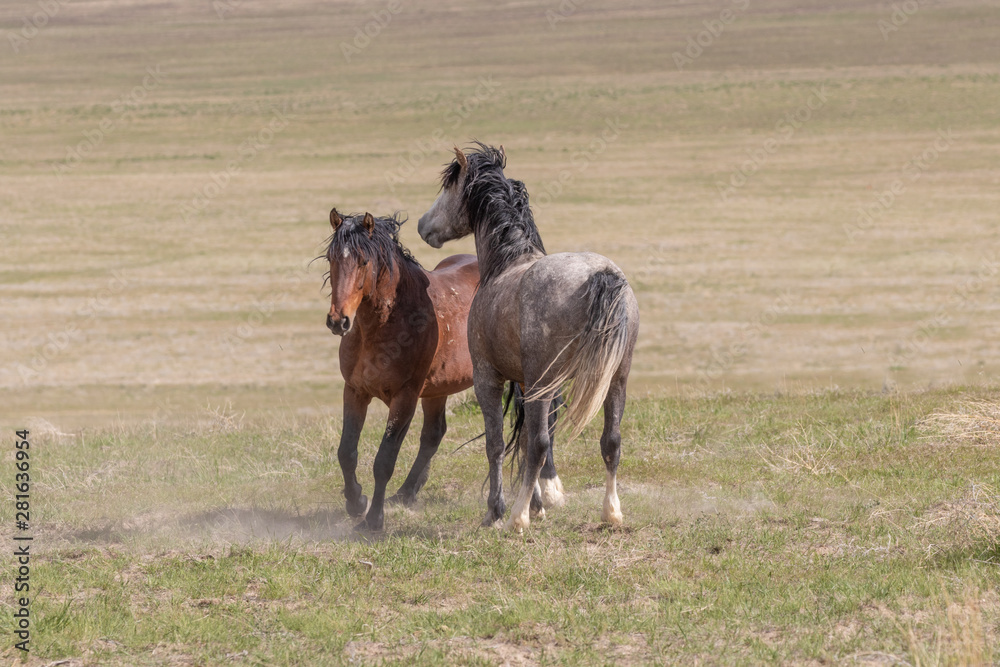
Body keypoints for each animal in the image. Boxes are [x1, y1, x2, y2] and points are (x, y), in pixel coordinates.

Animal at [326, 209, 568, 532]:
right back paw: (406, 493)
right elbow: (346, 453)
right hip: (437, 389)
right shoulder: (355, 391)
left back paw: (544, 496)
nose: (338, 321)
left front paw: (374, 519)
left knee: (539, 428)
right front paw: (356, 502)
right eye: (331, 258)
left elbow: (384, 460)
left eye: (363, 261)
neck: (386, 323)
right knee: (434, 434)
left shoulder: (405, 398)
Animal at [416, 144, 640, 536]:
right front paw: (537, 504)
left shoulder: (488, 378)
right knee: (610, 441)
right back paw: (611, 513)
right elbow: (521, 439)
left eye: (448, 186)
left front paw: (498, 510)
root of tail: (602, 275)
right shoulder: (524, 383)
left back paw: (516, 519)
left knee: (538, 444)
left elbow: (498, 444)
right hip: (615, 380)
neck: (506, 265)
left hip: (545, 381)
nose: (422, 225)